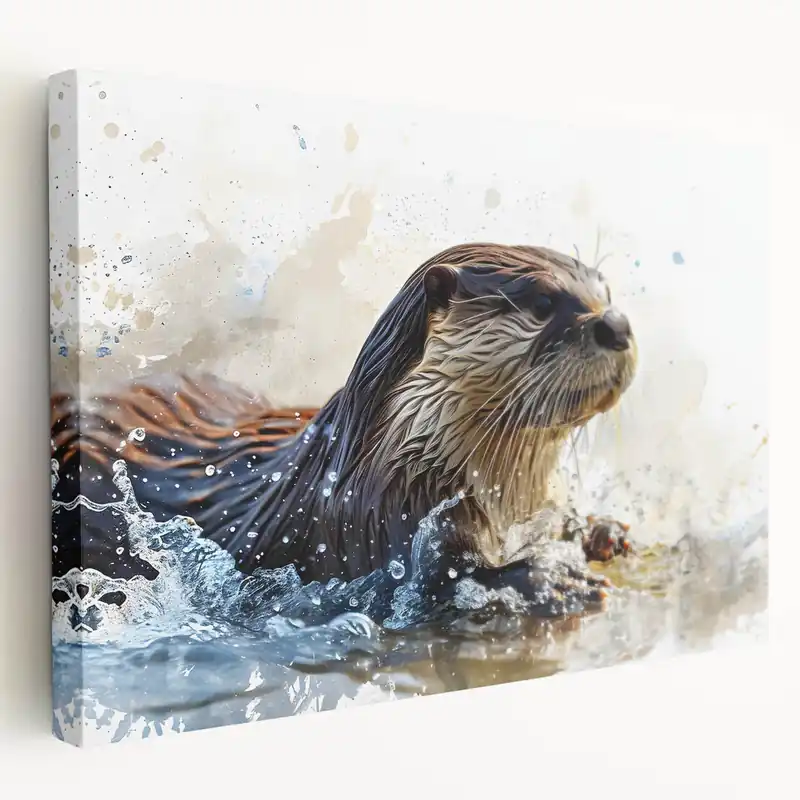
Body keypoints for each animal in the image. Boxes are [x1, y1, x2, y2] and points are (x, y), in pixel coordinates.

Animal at [51, 243, 637, 600]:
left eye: (607, 292)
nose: (617, 323)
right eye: (542, 301)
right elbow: (442, 581)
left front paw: (603, 532)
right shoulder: (376, 526)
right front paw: (551, 581)